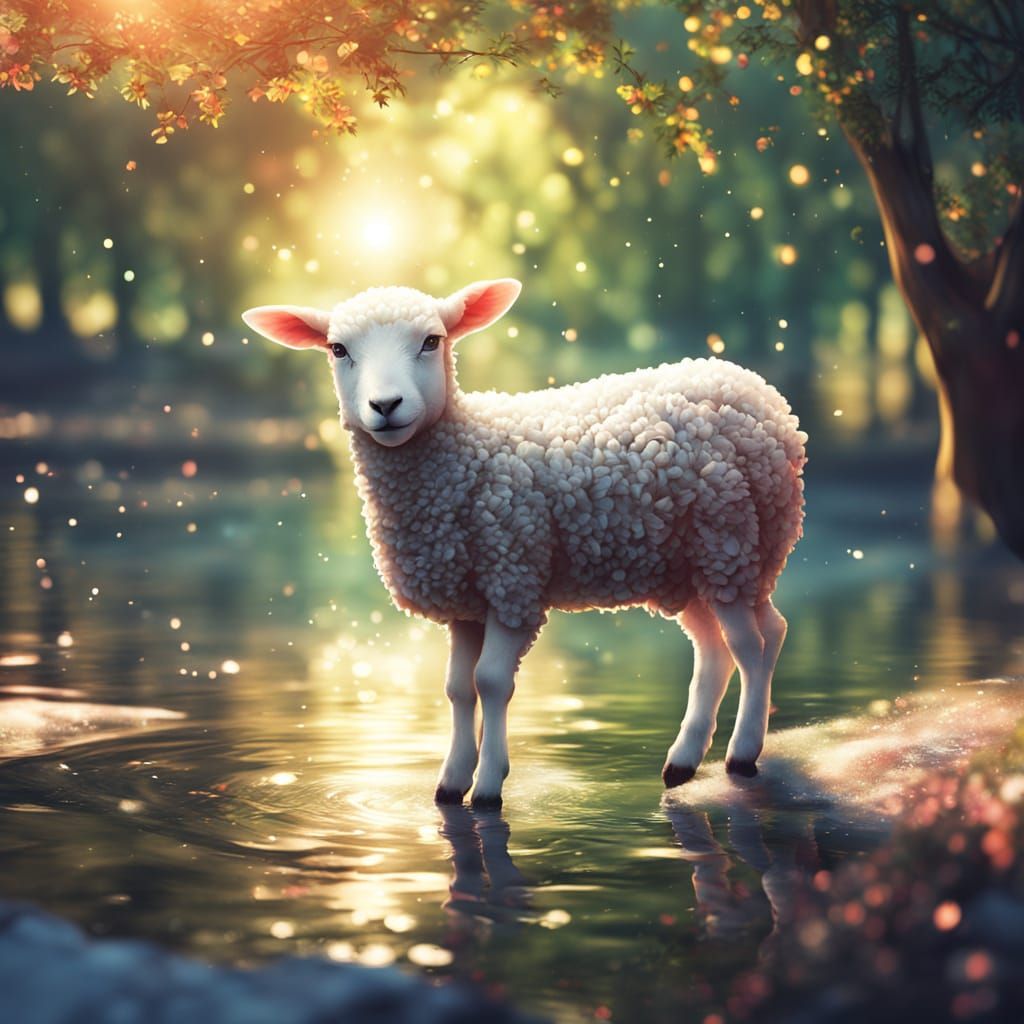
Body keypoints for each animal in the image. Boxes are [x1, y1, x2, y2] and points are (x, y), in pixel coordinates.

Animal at [242, 279, 807, 808]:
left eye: (432, 341)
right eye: (338, 349)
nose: (385, 405)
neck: (463, 453)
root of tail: (757, 389)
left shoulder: (513, 579)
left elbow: (491, 682)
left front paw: (489, 786)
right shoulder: (466, 601)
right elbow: (457, 689)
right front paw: (450, 782)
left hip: (729, 540)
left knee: (750, 643)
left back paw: (742, 753)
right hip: (695, 564)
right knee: (728, 644)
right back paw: (683, 761)